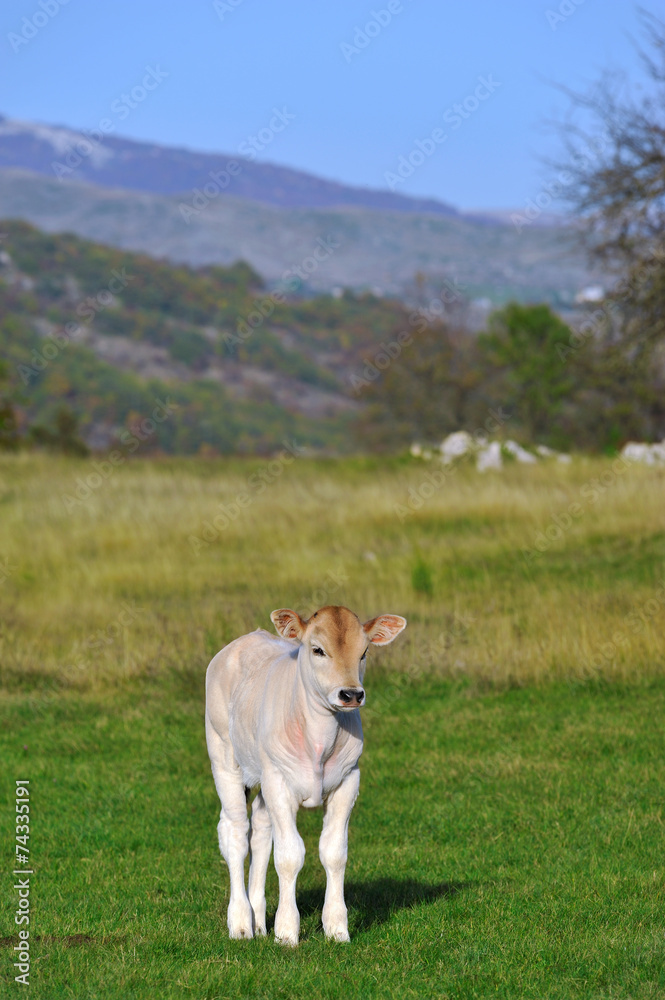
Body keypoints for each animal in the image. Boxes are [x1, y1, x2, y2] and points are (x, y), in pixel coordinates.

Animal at [205, 600, 408, 944]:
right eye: (317, 650)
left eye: (364, 651)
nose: (351, 694)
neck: (319, 742)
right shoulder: (279, 781)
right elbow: (289, 856)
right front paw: (287, 932)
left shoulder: (348, 780)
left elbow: (334, 852)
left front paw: (337, 928)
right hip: (223, 754)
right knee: (235, 831)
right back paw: (241, 923)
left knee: (261, 828)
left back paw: (259, 920)